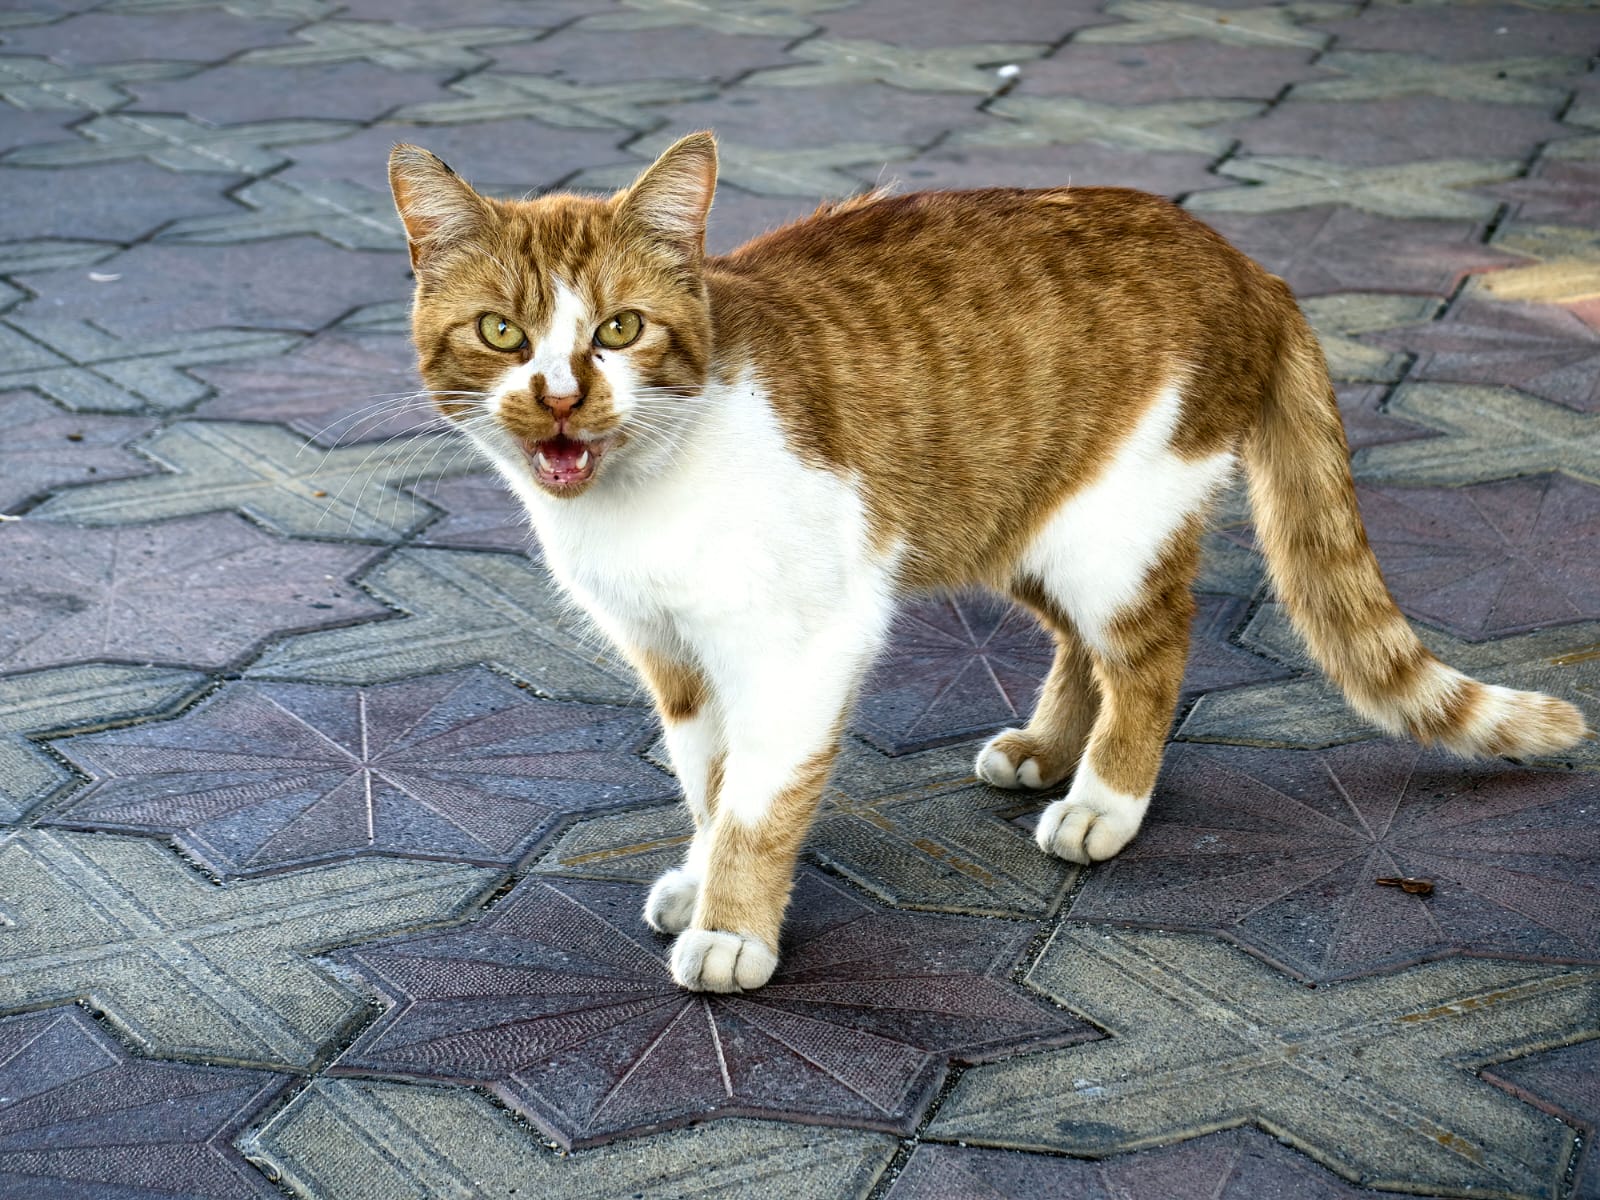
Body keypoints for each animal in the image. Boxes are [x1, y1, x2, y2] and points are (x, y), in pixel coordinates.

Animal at [387, 131, 1587, 998]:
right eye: (502, 334)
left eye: (621, 330)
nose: (558, 399)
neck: (640, 497)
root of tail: (1246, 260)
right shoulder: (676, 662)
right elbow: (709, 781)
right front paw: (700, 870)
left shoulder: (803, 646)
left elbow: (760, 801)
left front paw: (735, 925)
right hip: (1015, 519)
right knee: (1080, 648)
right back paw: (1051, 749)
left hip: (1112, 531)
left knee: (1151, 653)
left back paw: (1104, 797)